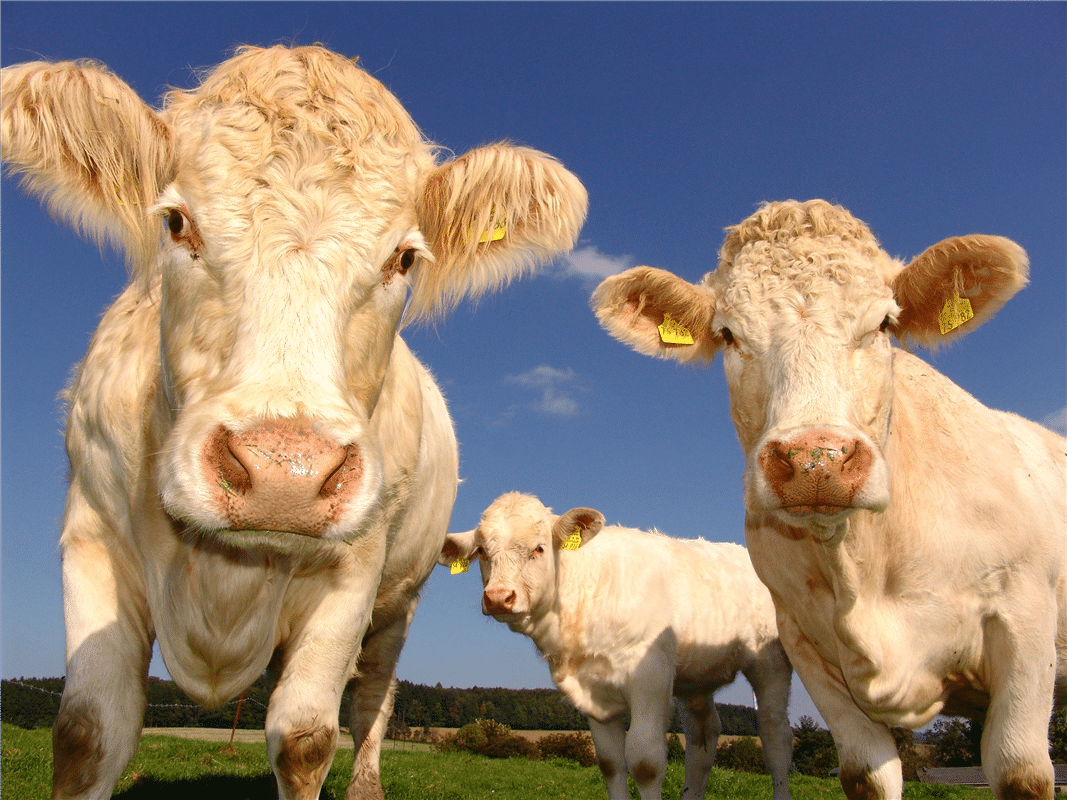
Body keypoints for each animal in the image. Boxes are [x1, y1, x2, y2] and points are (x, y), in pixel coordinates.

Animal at [0, 45, 587, 800]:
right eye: (176, 223)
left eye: (404, 257)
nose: (285, 474)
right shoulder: (92, 535)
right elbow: (88, 729)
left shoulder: (355, 573)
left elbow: (307, 737)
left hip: (398, 602)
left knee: (371, 700)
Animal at [439, 491, 794, 800]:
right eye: (482, 551)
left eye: (539, 548)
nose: (499, 597)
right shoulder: (592, 692)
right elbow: (611, 763)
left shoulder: (650, 679)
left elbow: (645, 762)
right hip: (695, 678)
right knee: (703, 739)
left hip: (771, 661)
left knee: (775, 736)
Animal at [592, 200, 1067, 800]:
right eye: (728, 334)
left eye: (883, 323)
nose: (816, 460)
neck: (864, 563)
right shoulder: (808, 645)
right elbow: (866, 774)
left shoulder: (1024, 621)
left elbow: (1020, 770)